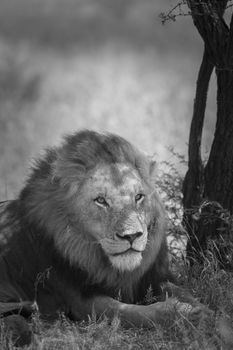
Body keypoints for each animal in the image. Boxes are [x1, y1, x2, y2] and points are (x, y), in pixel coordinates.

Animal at [0, 131, 204, 344]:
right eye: (101, 201)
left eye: (138, 197)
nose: (131, 236)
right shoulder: (79, 300)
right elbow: (128, 312)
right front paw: (180, 314)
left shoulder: (152, 279)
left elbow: (184, 292)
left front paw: (200, 310)